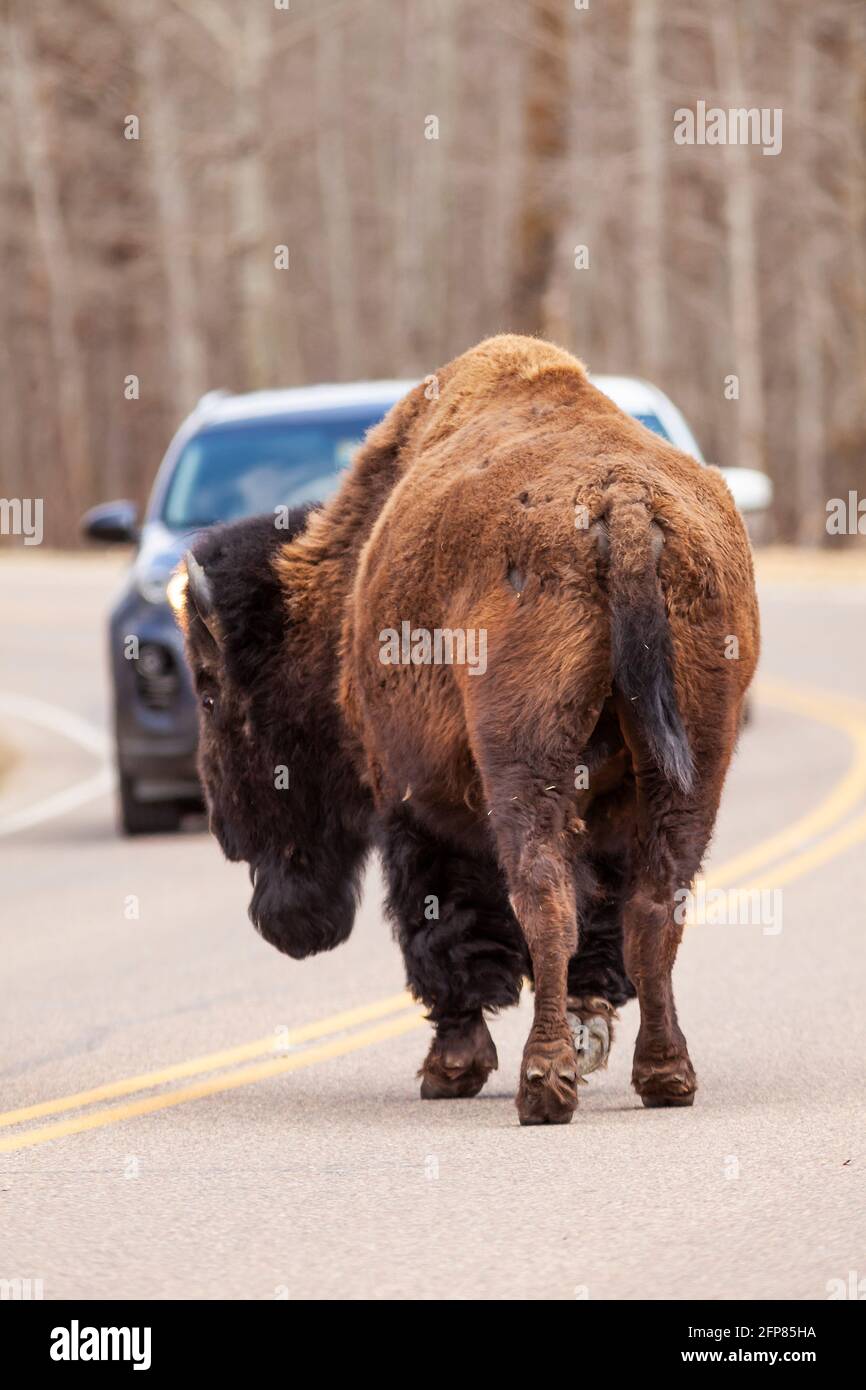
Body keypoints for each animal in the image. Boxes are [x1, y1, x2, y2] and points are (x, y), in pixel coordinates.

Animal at [177, 339, 756, 1128]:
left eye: (212, 693)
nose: (224, 831)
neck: (344, 591)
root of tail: (624, 504)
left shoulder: (410, 804)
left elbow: (441, 929)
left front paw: (451, 1067)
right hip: (692, 767)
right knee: (652, 908)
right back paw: (664, 1075)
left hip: (524, 763)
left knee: (543, 899)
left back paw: (543, 1084)